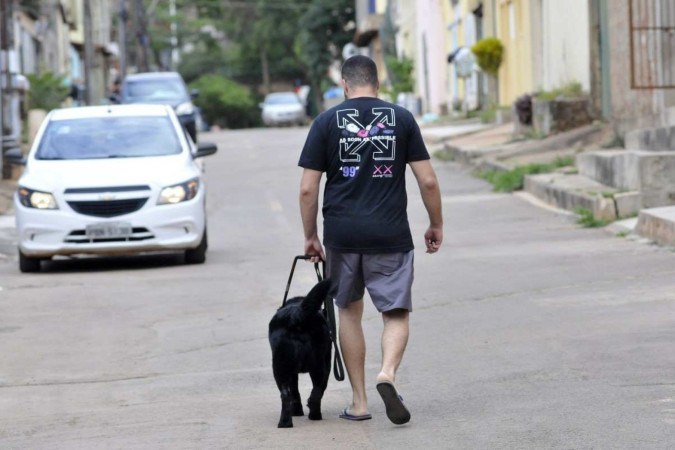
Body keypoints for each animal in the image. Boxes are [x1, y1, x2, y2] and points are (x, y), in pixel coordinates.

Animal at [270, 278, 332, 428]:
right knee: (317, 391)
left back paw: (285, 423)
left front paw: (297, 411)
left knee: (286, 395)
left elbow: (295, 392)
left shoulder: (291, 373)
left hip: (280, 367)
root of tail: (296, 315)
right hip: (318, 366)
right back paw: (315, 415)